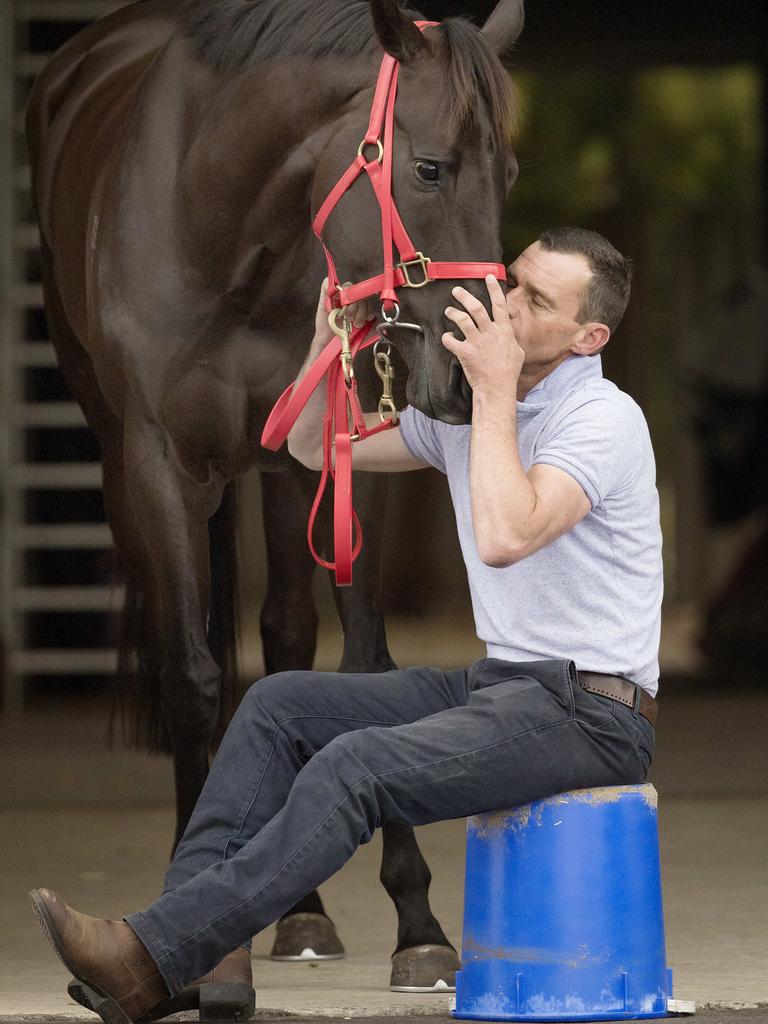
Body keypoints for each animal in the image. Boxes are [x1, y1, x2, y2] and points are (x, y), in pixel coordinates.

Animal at [27, 0, 528, 987]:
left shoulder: (341, 453)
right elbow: (192, 677)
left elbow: (361, 672)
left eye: (511, 171)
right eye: (427, 167)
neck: (221, 229)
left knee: (289, 643)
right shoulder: (158, 468)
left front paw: (417, 922)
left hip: (285, 479)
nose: (470, 377)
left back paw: (303, 912)